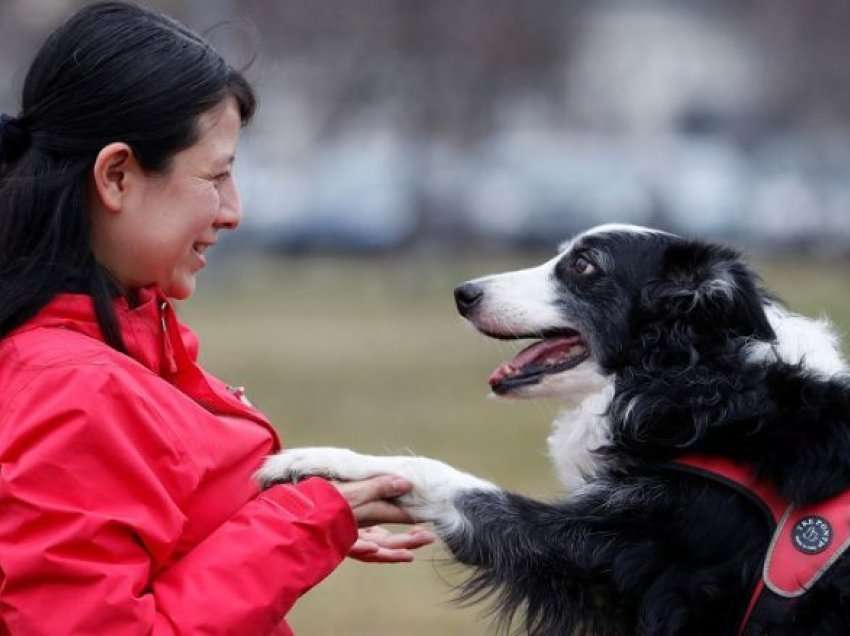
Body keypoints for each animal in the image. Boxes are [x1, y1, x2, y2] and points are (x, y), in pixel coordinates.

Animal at [256, 225, 848, 636]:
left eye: (583, 265)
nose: (463, 293)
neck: (700, 377)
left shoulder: (614, 550)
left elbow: (441, 476)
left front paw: (314, 461)